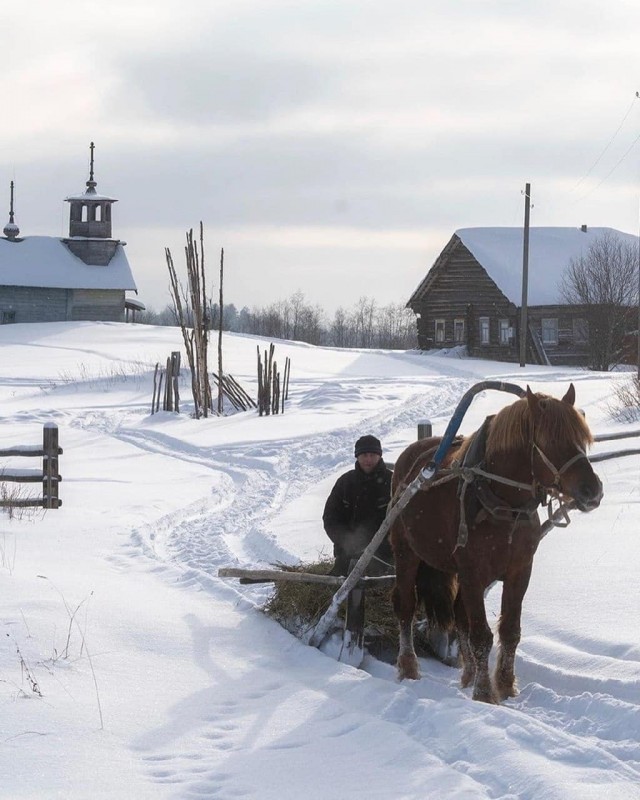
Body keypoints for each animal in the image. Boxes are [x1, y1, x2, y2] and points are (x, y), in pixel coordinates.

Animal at [388, 384, 604, 704]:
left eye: (582, 439)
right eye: (551, 441)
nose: (593, 490)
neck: (502, 504)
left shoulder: (519, 571)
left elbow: (509, 630)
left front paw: (504, 684)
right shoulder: (472, 572)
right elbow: (481, 634)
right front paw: (484, 693)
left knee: (459, 616)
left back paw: (466, 675)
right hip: (406, 552)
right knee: (406, 605)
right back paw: (409, 667)